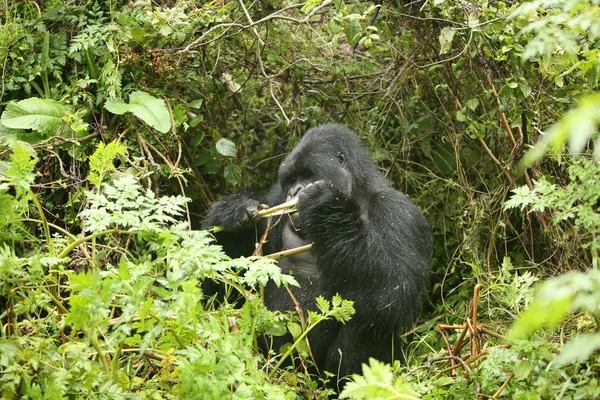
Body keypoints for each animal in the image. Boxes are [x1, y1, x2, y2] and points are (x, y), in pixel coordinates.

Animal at [203, 123, 432, 386]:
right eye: (291, 180)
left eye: (308, 174)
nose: (295, 190)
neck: (357, 193)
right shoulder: (275, 199)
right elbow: (225, 281)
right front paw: (233, 215)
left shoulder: (400, 213)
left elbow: (395, 292)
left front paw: (326, 210)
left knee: (370, 321)